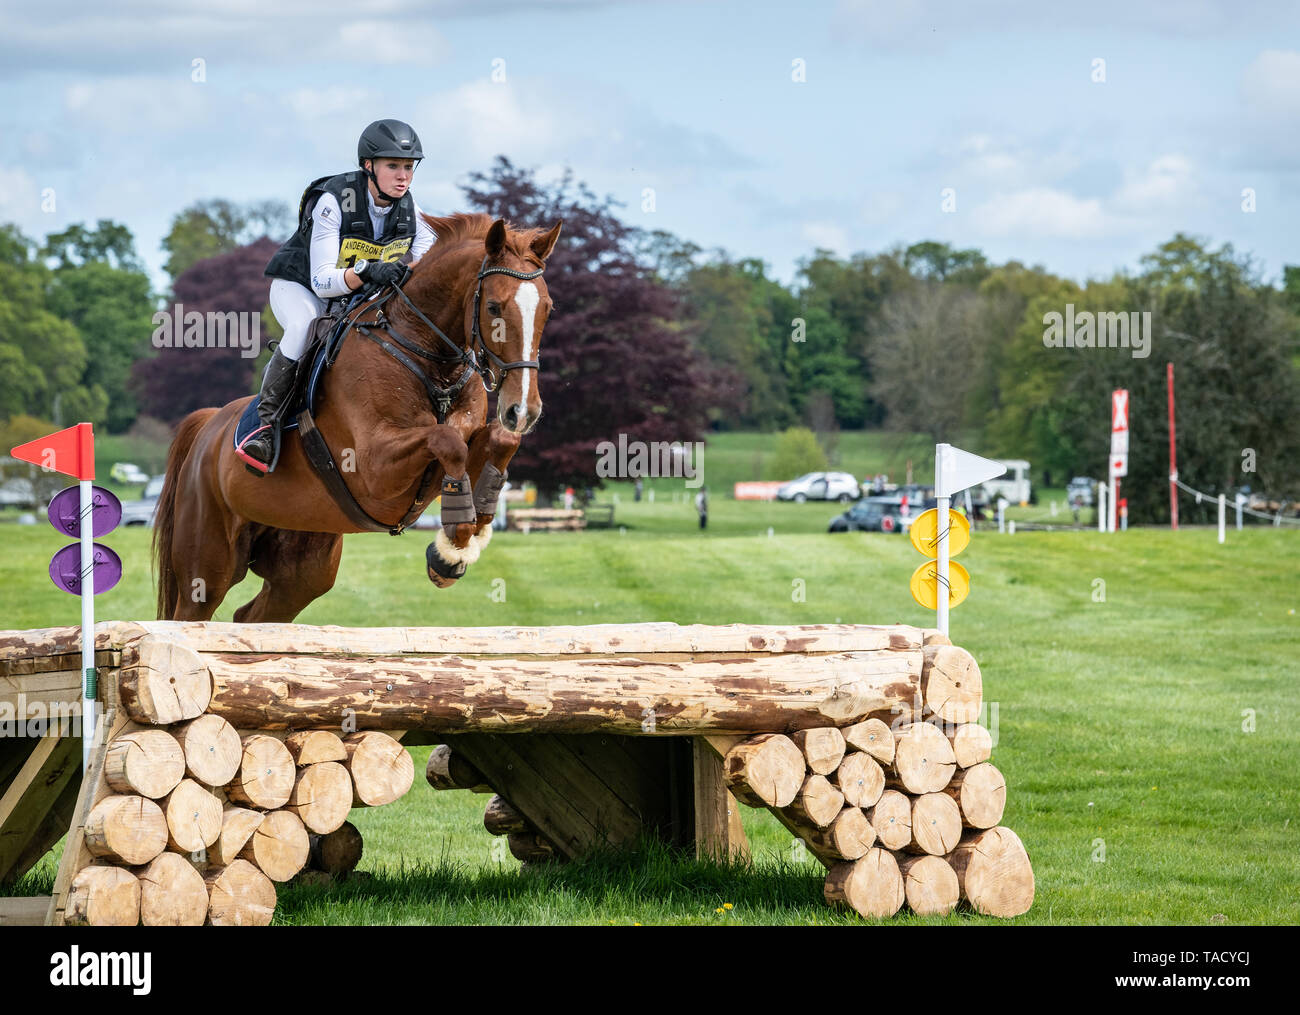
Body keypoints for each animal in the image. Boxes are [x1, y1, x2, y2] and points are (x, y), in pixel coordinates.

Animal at [152, 214, 559, 621]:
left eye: (548, 308)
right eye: (493, 307)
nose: (523, 410)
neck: (426, 356)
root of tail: (210, 424)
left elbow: (499, 440)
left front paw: (477, 523)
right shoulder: (373, 466)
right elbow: (447, 441)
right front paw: (449, 551)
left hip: (303, 568)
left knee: (252, 615)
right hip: (207, 566)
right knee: (192, 609)